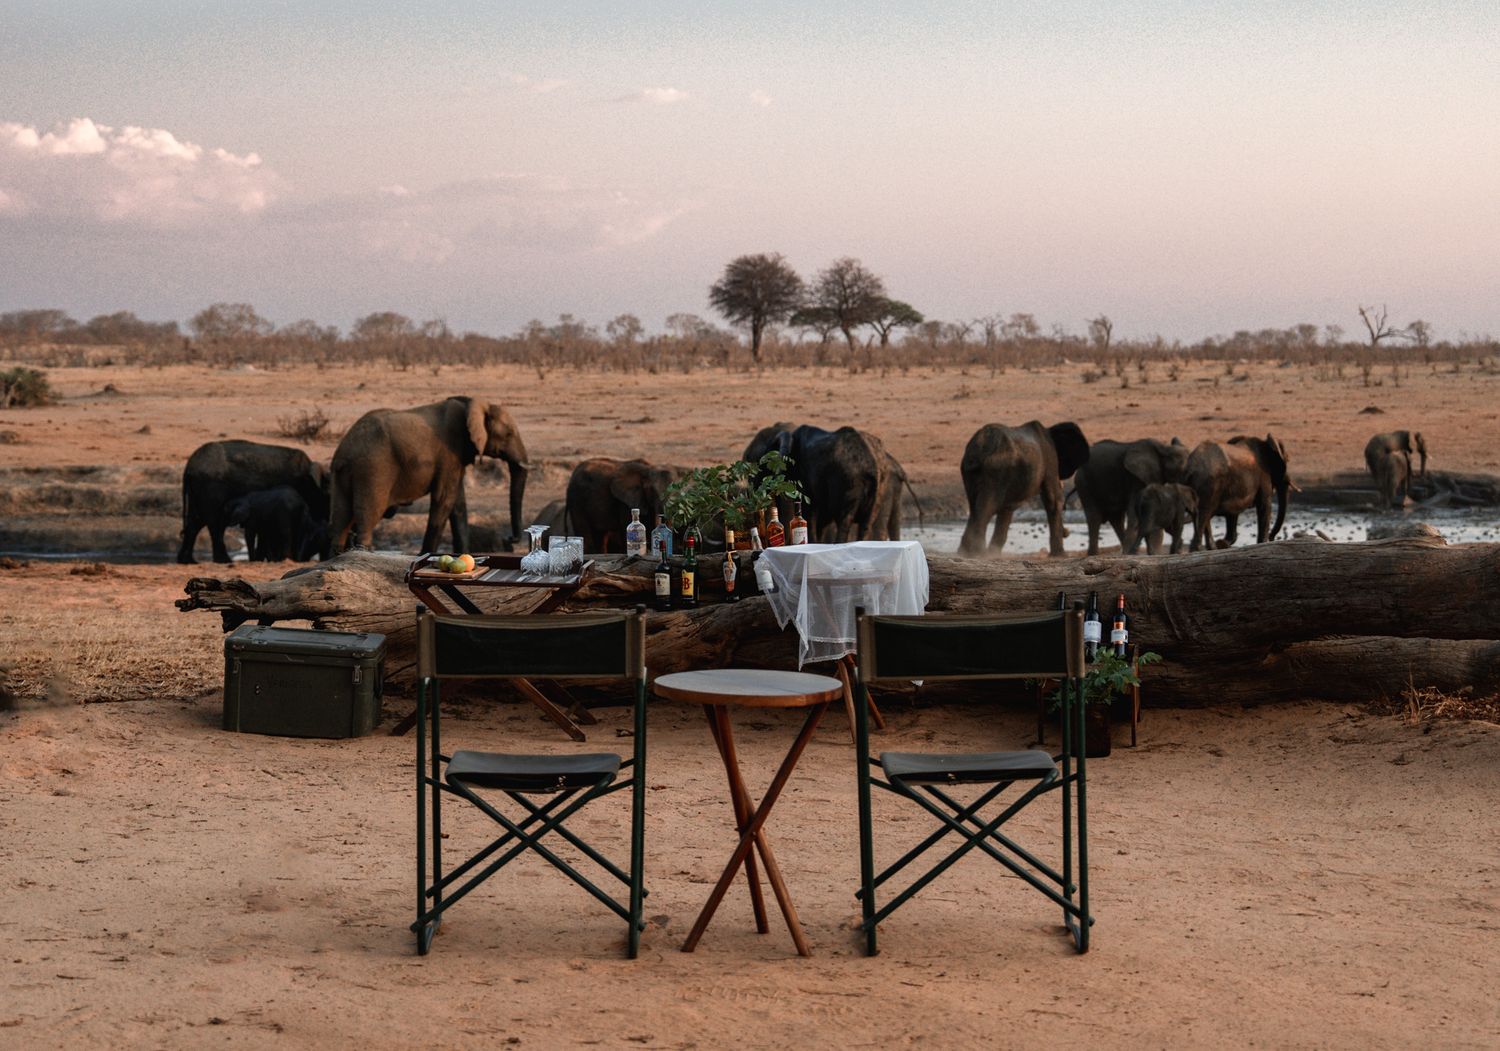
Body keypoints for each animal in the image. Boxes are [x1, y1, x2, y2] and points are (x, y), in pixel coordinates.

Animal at [177, 440, 329, 564]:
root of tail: (188, 467)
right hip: (210, 488)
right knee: (215, 523)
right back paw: (224, 561)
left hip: (199, 489)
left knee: (196, 522)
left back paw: (188, 561)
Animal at [329, 396, 529, 554]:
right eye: (509, 434)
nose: (511, 538)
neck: (472, 404)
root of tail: (344, 450)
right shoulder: (450, 452)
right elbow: (444, 499)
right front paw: (425, 555)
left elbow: (457, 503)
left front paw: (462, 554)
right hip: (373, 469)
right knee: (368, 515)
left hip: (343, 474)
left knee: (340, 520)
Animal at [742, 423, 884, 542]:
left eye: (760, 463)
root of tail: (872, 468)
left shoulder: (805, 475)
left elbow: (809, 512)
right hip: (877, 491)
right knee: (866, 524)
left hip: (848, 482)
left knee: (844, 521)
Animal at [958, 421, 1090, 557]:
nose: (1067, 532)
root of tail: (980, 448)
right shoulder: (1050, 460)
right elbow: (1053, 500)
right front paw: (1061, 555)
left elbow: (1007, 509)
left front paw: (994, 553)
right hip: (996, 470)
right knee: (987, 507)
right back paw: (979, 553)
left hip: (973, 472)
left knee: (975, 507)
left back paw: (965, 553)